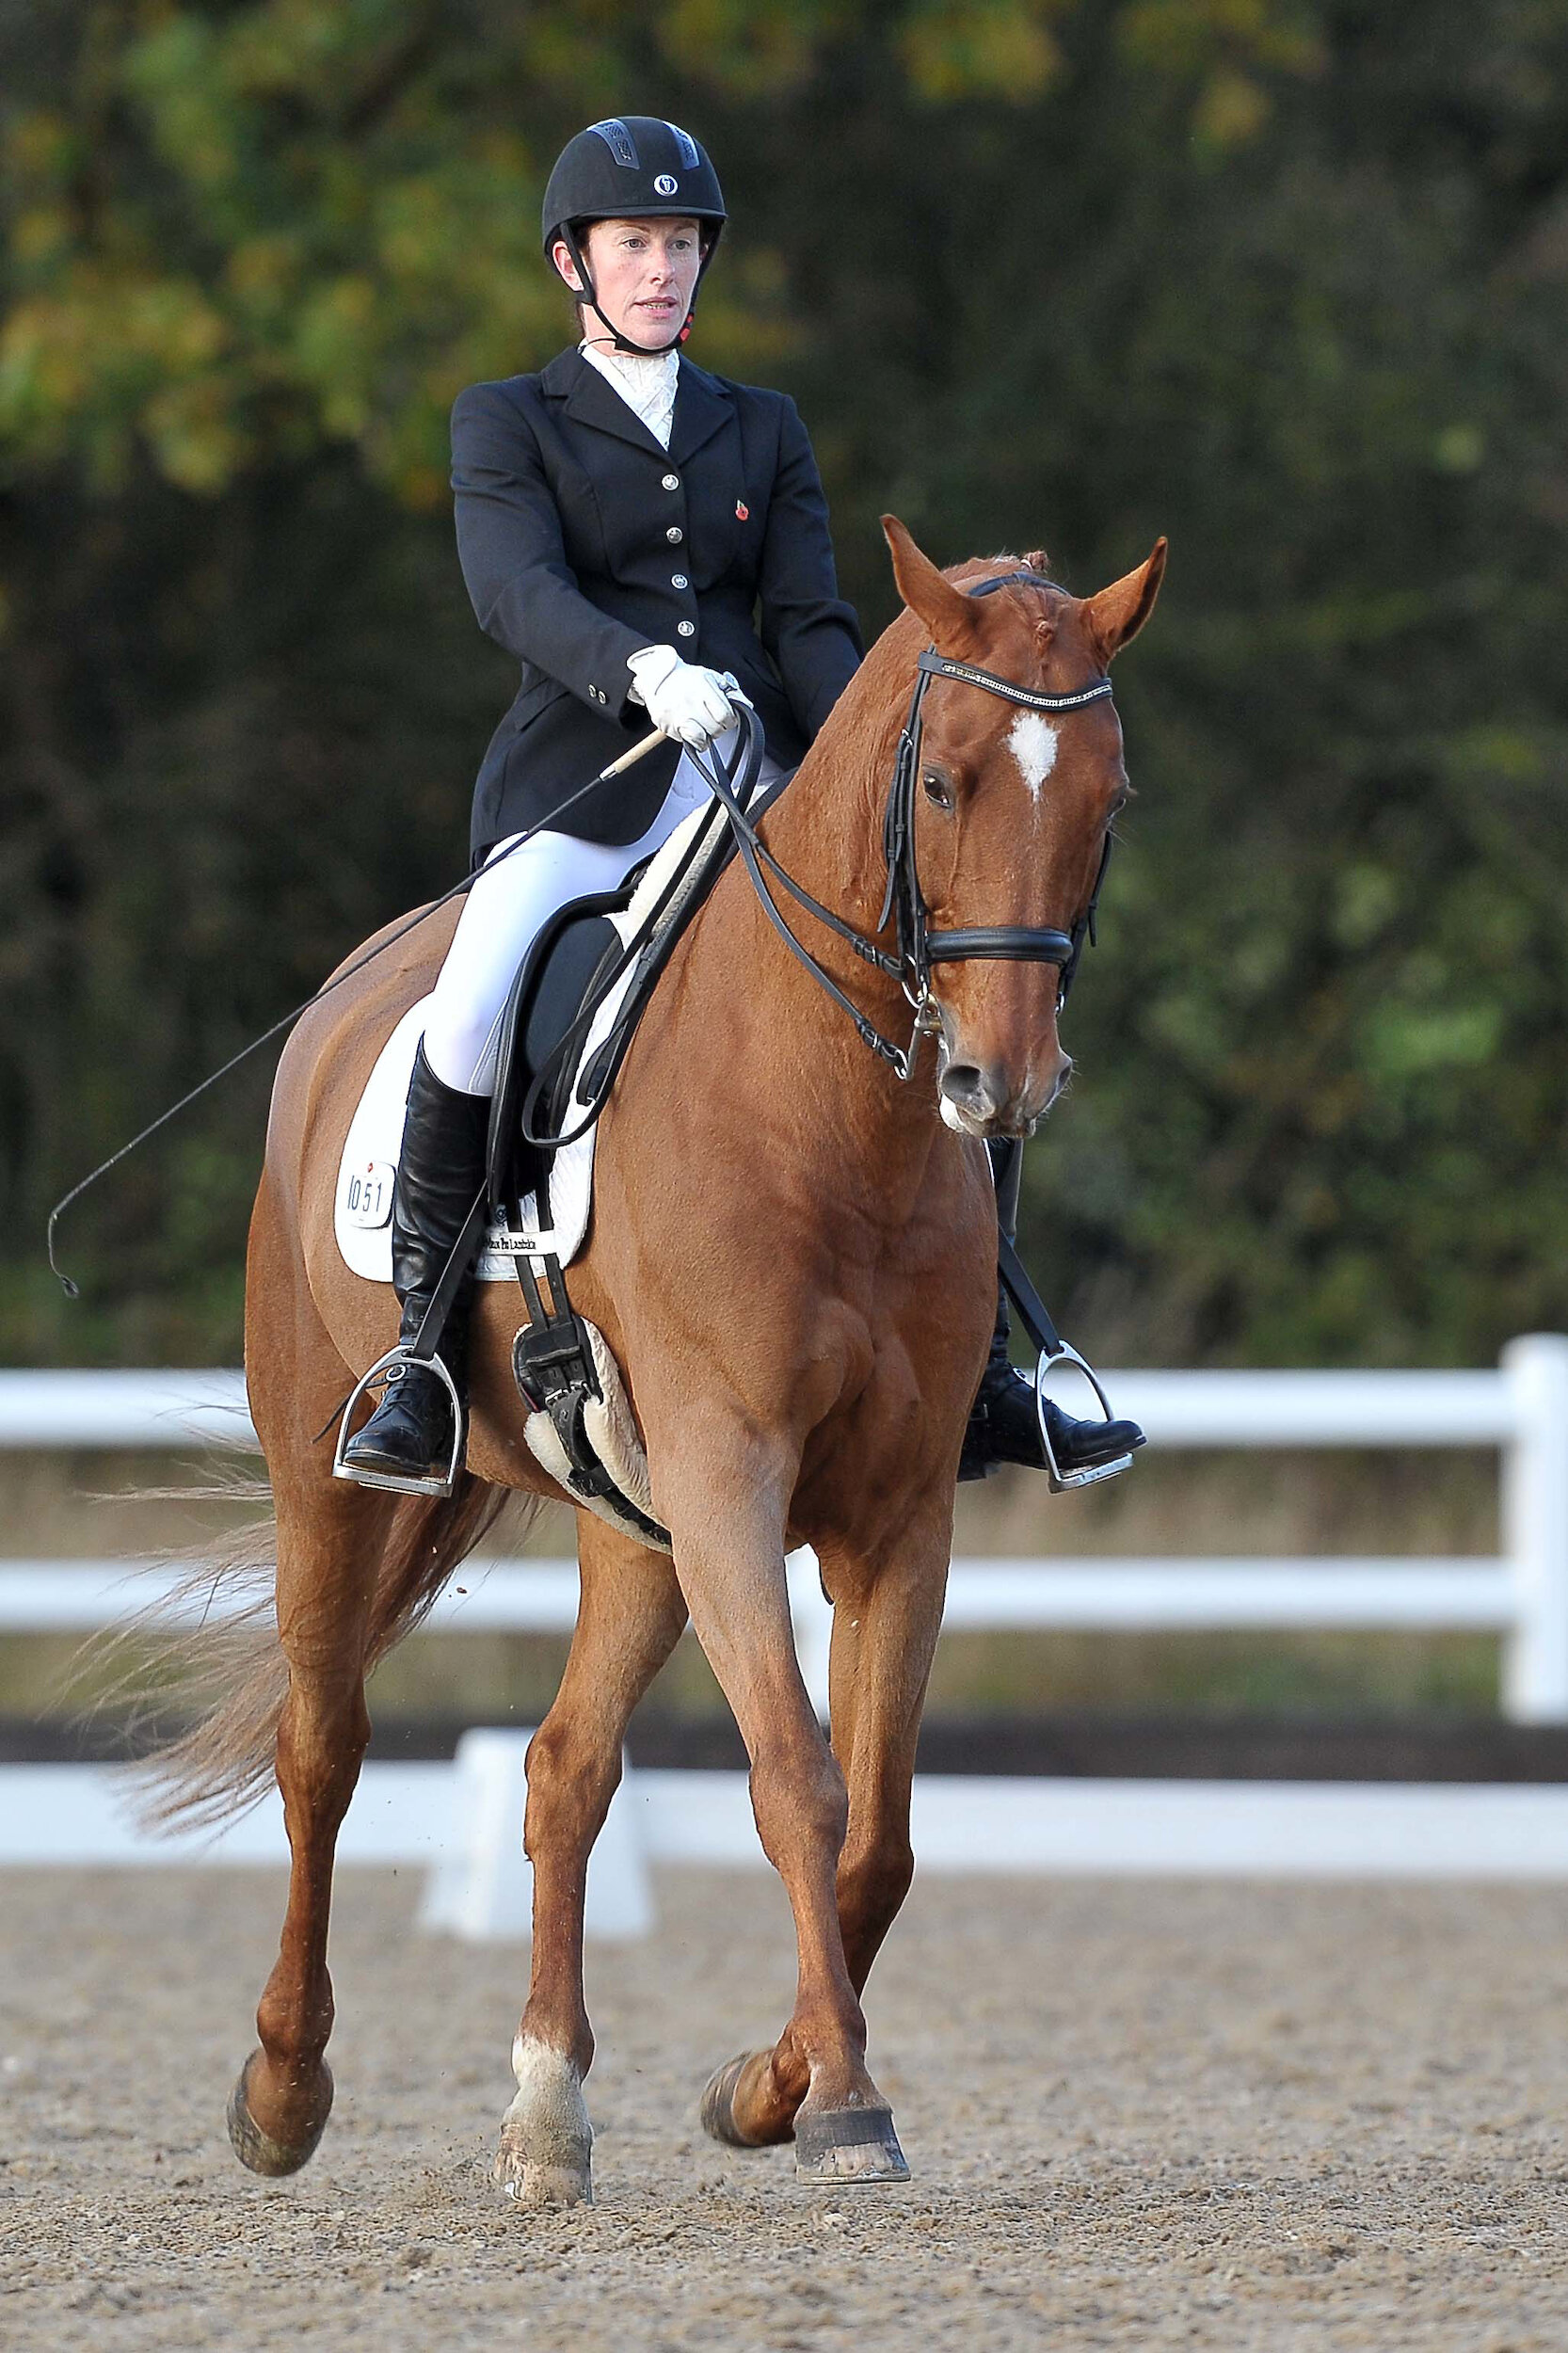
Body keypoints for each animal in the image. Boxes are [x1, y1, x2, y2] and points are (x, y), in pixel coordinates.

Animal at [152, 515, 1158, 2202]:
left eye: (1107, 797)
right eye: (944, 782)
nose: (998, 1081)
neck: (829, 1117)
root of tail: (353, 987)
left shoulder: (894, 1513)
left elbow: (880, 1829)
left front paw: (762, 2087)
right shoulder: (731, 1468)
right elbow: (799, 1783)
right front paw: (841, 2105)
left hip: (636, 1522)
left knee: (562, 1770)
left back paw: (546, 2112)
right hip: (330, 1476)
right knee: (323, 1745)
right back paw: (282, 2091)